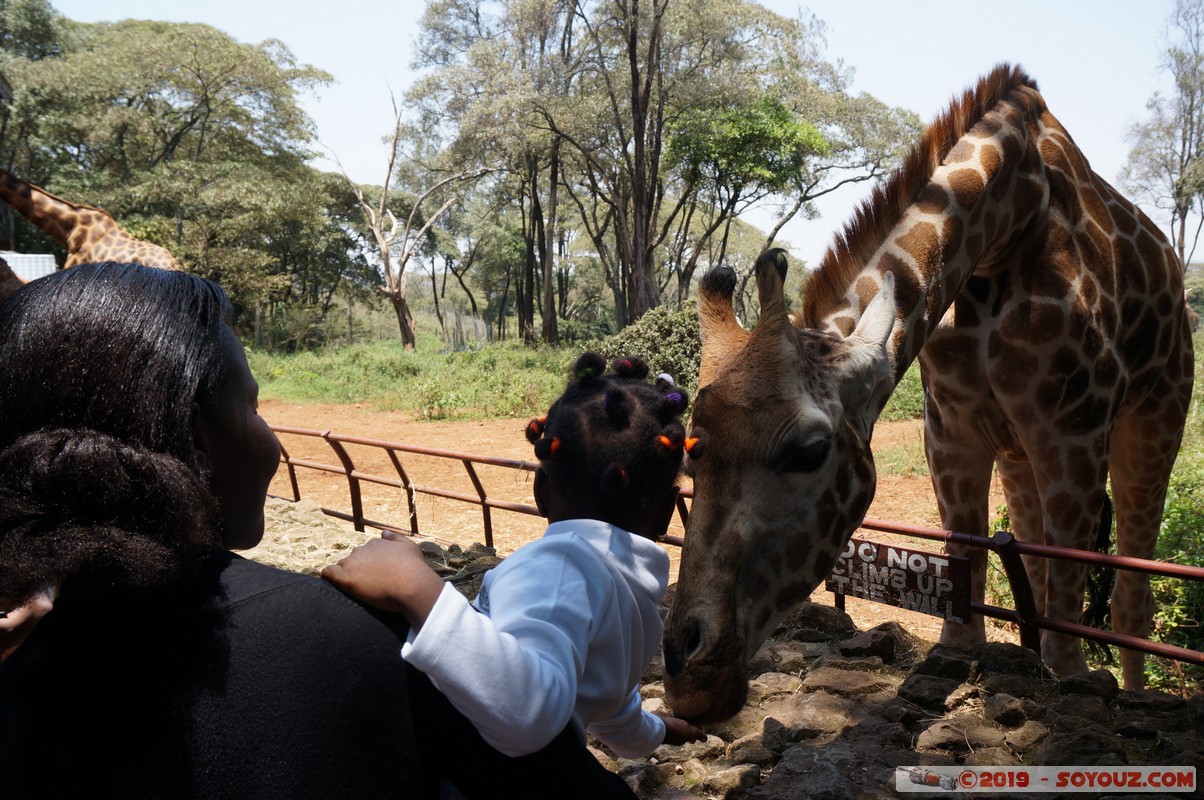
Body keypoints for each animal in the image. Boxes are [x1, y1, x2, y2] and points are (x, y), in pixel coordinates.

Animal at [662, 64, 1194, 723]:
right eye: (691, 452)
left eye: (809, 451)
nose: (689, 674)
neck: (1006, 226)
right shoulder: (952, 431)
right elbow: (972, 574)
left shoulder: (1074, 429)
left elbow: (1068, 600)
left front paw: (1068, 679)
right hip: (1018, 451)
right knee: (1035, 560)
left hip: (1157, 418)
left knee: (1131, 595)